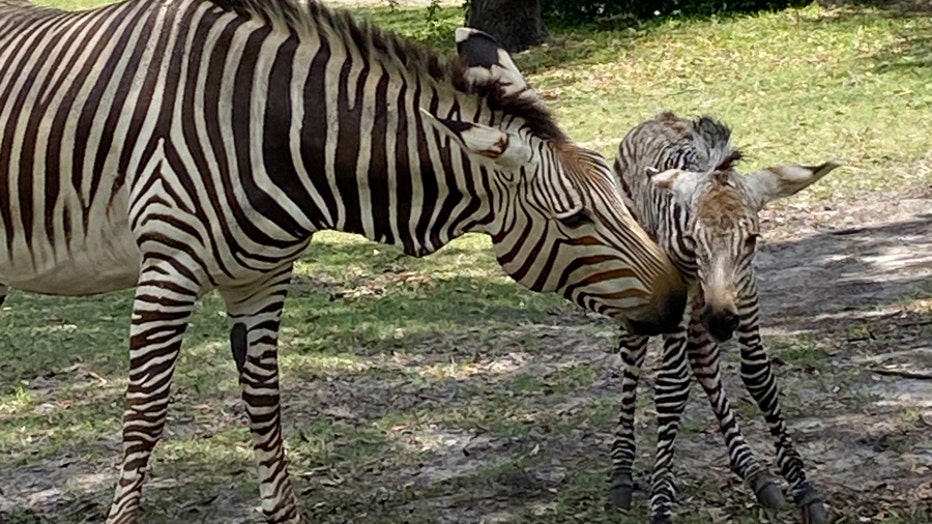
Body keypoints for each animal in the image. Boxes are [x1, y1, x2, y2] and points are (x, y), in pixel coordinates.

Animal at [0, 1, 684, 524]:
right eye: (573, 221)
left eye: (621, 195)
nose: (680, 299)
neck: (276, 129)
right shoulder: (168, 268)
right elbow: (145, 414)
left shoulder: (263, 277)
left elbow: (265, 403)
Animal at [608, 111, 840, 524]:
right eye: (693, 238)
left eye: (752, 239)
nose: (719, 321)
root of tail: (653, 119)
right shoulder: (683, 295)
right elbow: (671, 387)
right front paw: (661, 504)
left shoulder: (745, 294)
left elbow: (759, 377)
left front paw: (803, 487)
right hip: (648, 285)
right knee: (632, 360)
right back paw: (621, 473)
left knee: (703, 361)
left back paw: (753, 471)